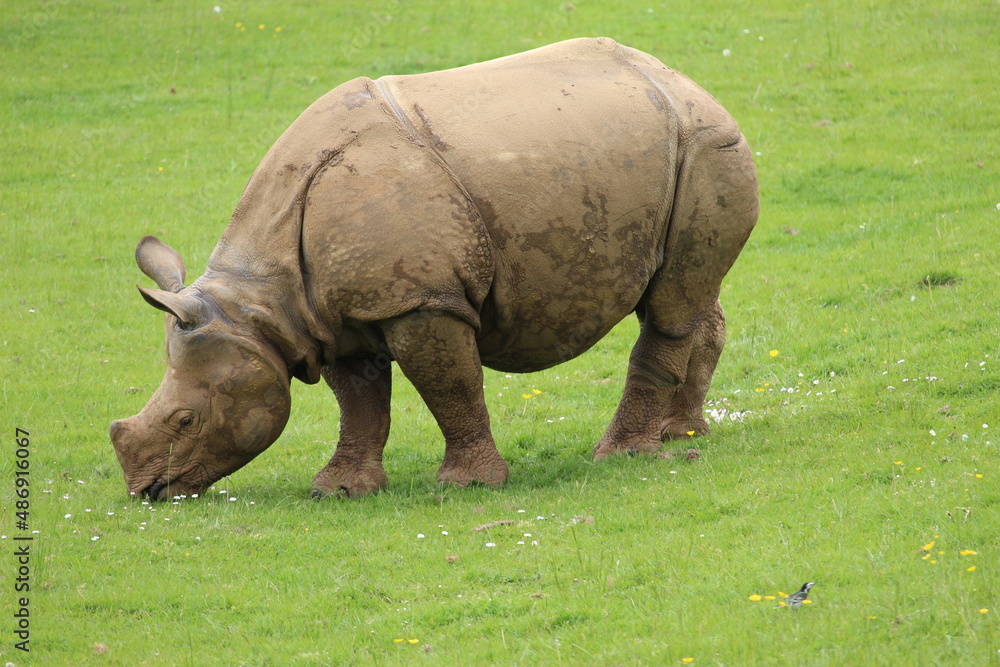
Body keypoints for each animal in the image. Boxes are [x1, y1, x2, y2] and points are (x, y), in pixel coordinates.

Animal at [110, 37, 758, 500]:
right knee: (688, 294)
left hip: (707, 145)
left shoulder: (421, 299)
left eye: (187, 419)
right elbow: (360, 403)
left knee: (670, 307)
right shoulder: (334, 316)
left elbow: (451, 386)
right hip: (662, 150)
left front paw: (467, 487)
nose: (147, 492)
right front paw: (339, 491)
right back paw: (683, 434)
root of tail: (688, 83)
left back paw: (623, 456)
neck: (259, 303)